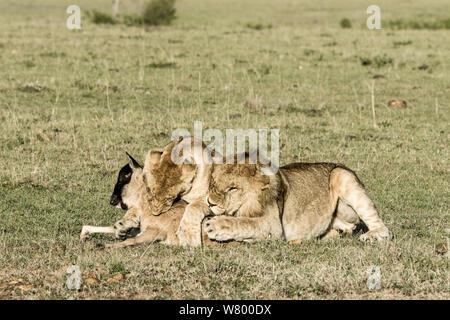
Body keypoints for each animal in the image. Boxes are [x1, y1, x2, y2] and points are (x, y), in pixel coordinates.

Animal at [205, 160, 390, 242]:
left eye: (233, 188)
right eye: (213, 183)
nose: (210, 202)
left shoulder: (274, 226)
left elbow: (245, 223)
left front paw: (215, 226)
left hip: (340, 174)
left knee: (383, 228)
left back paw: (370, 236)